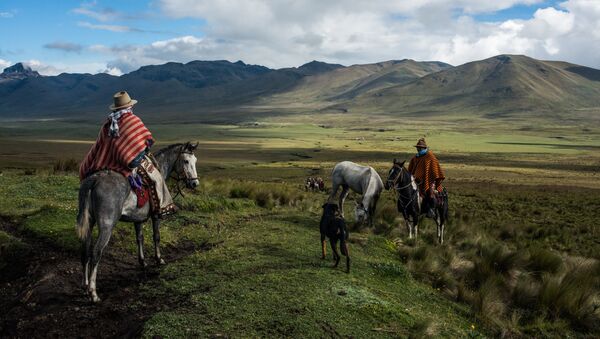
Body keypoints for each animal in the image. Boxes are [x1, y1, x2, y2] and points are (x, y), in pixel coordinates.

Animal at [76, 141, 199, 302]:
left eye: (195, 161)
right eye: (185, 161)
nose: (195, 184)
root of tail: (94, 180)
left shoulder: (138, 219)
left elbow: (139, 238)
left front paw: (142, 261)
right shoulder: (155, 216)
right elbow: (156, 236)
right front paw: (159, 259)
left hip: (89, 223)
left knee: (85, 250)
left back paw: (84, 287)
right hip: (106, 226)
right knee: (96, 252)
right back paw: (93, 293)